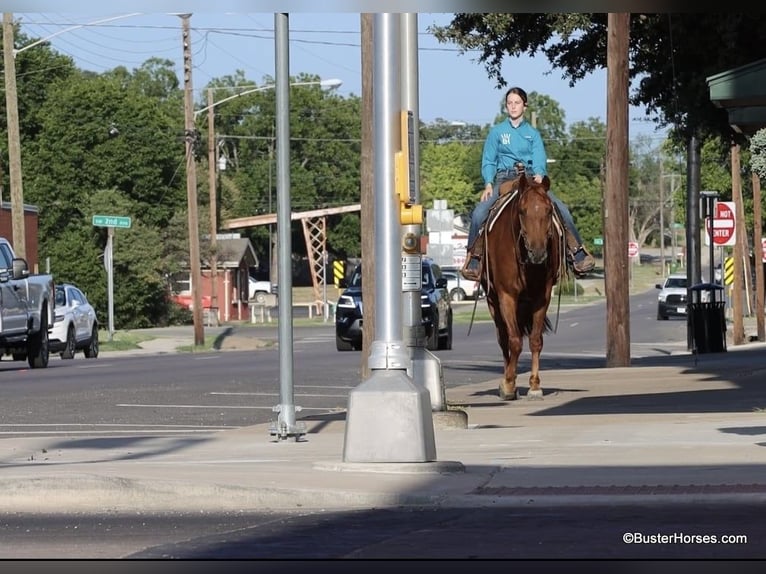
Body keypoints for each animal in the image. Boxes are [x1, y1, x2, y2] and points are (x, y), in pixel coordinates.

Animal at [484, 173, 568, 402]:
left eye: (548, 210)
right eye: (522, 211)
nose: (538, 253)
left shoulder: (542, 297)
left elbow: (535, 340)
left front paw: (535, 385)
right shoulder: (506, 296)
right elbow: (514, 341)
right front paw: (508, 384)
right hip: (493, 301)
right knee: (503, 337)